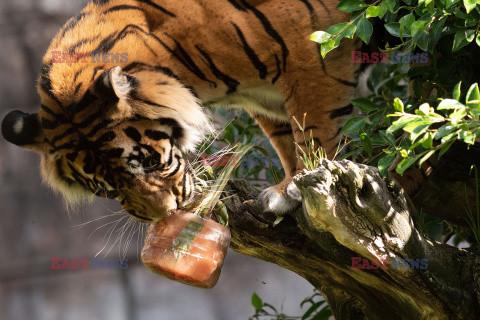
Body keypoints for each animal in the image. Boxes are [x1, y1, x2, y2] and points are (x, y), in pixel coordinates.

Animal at [0, 0, 360, 222]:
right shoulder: (267, 98)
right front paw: (286, 185)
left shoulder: (309, 54)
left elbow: (312, 129)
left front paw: (297, 183)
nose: (165, 214)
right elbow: (285, 138)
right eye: (105, 189)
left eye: (147, 162)